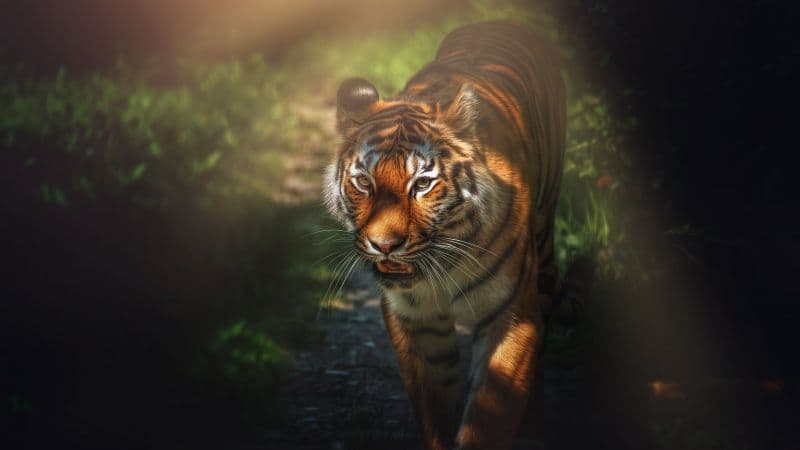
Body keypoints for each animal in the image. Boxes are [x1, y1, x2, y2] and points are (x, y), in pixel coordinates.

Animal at [323, 21, 566, 450]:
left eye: (422, 184)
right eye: (364, 182)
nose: (385, 245)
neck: (443, 263)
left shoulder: (511, 315)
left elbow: (489, 416)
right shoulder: (415, 320)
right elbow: (436, 407)